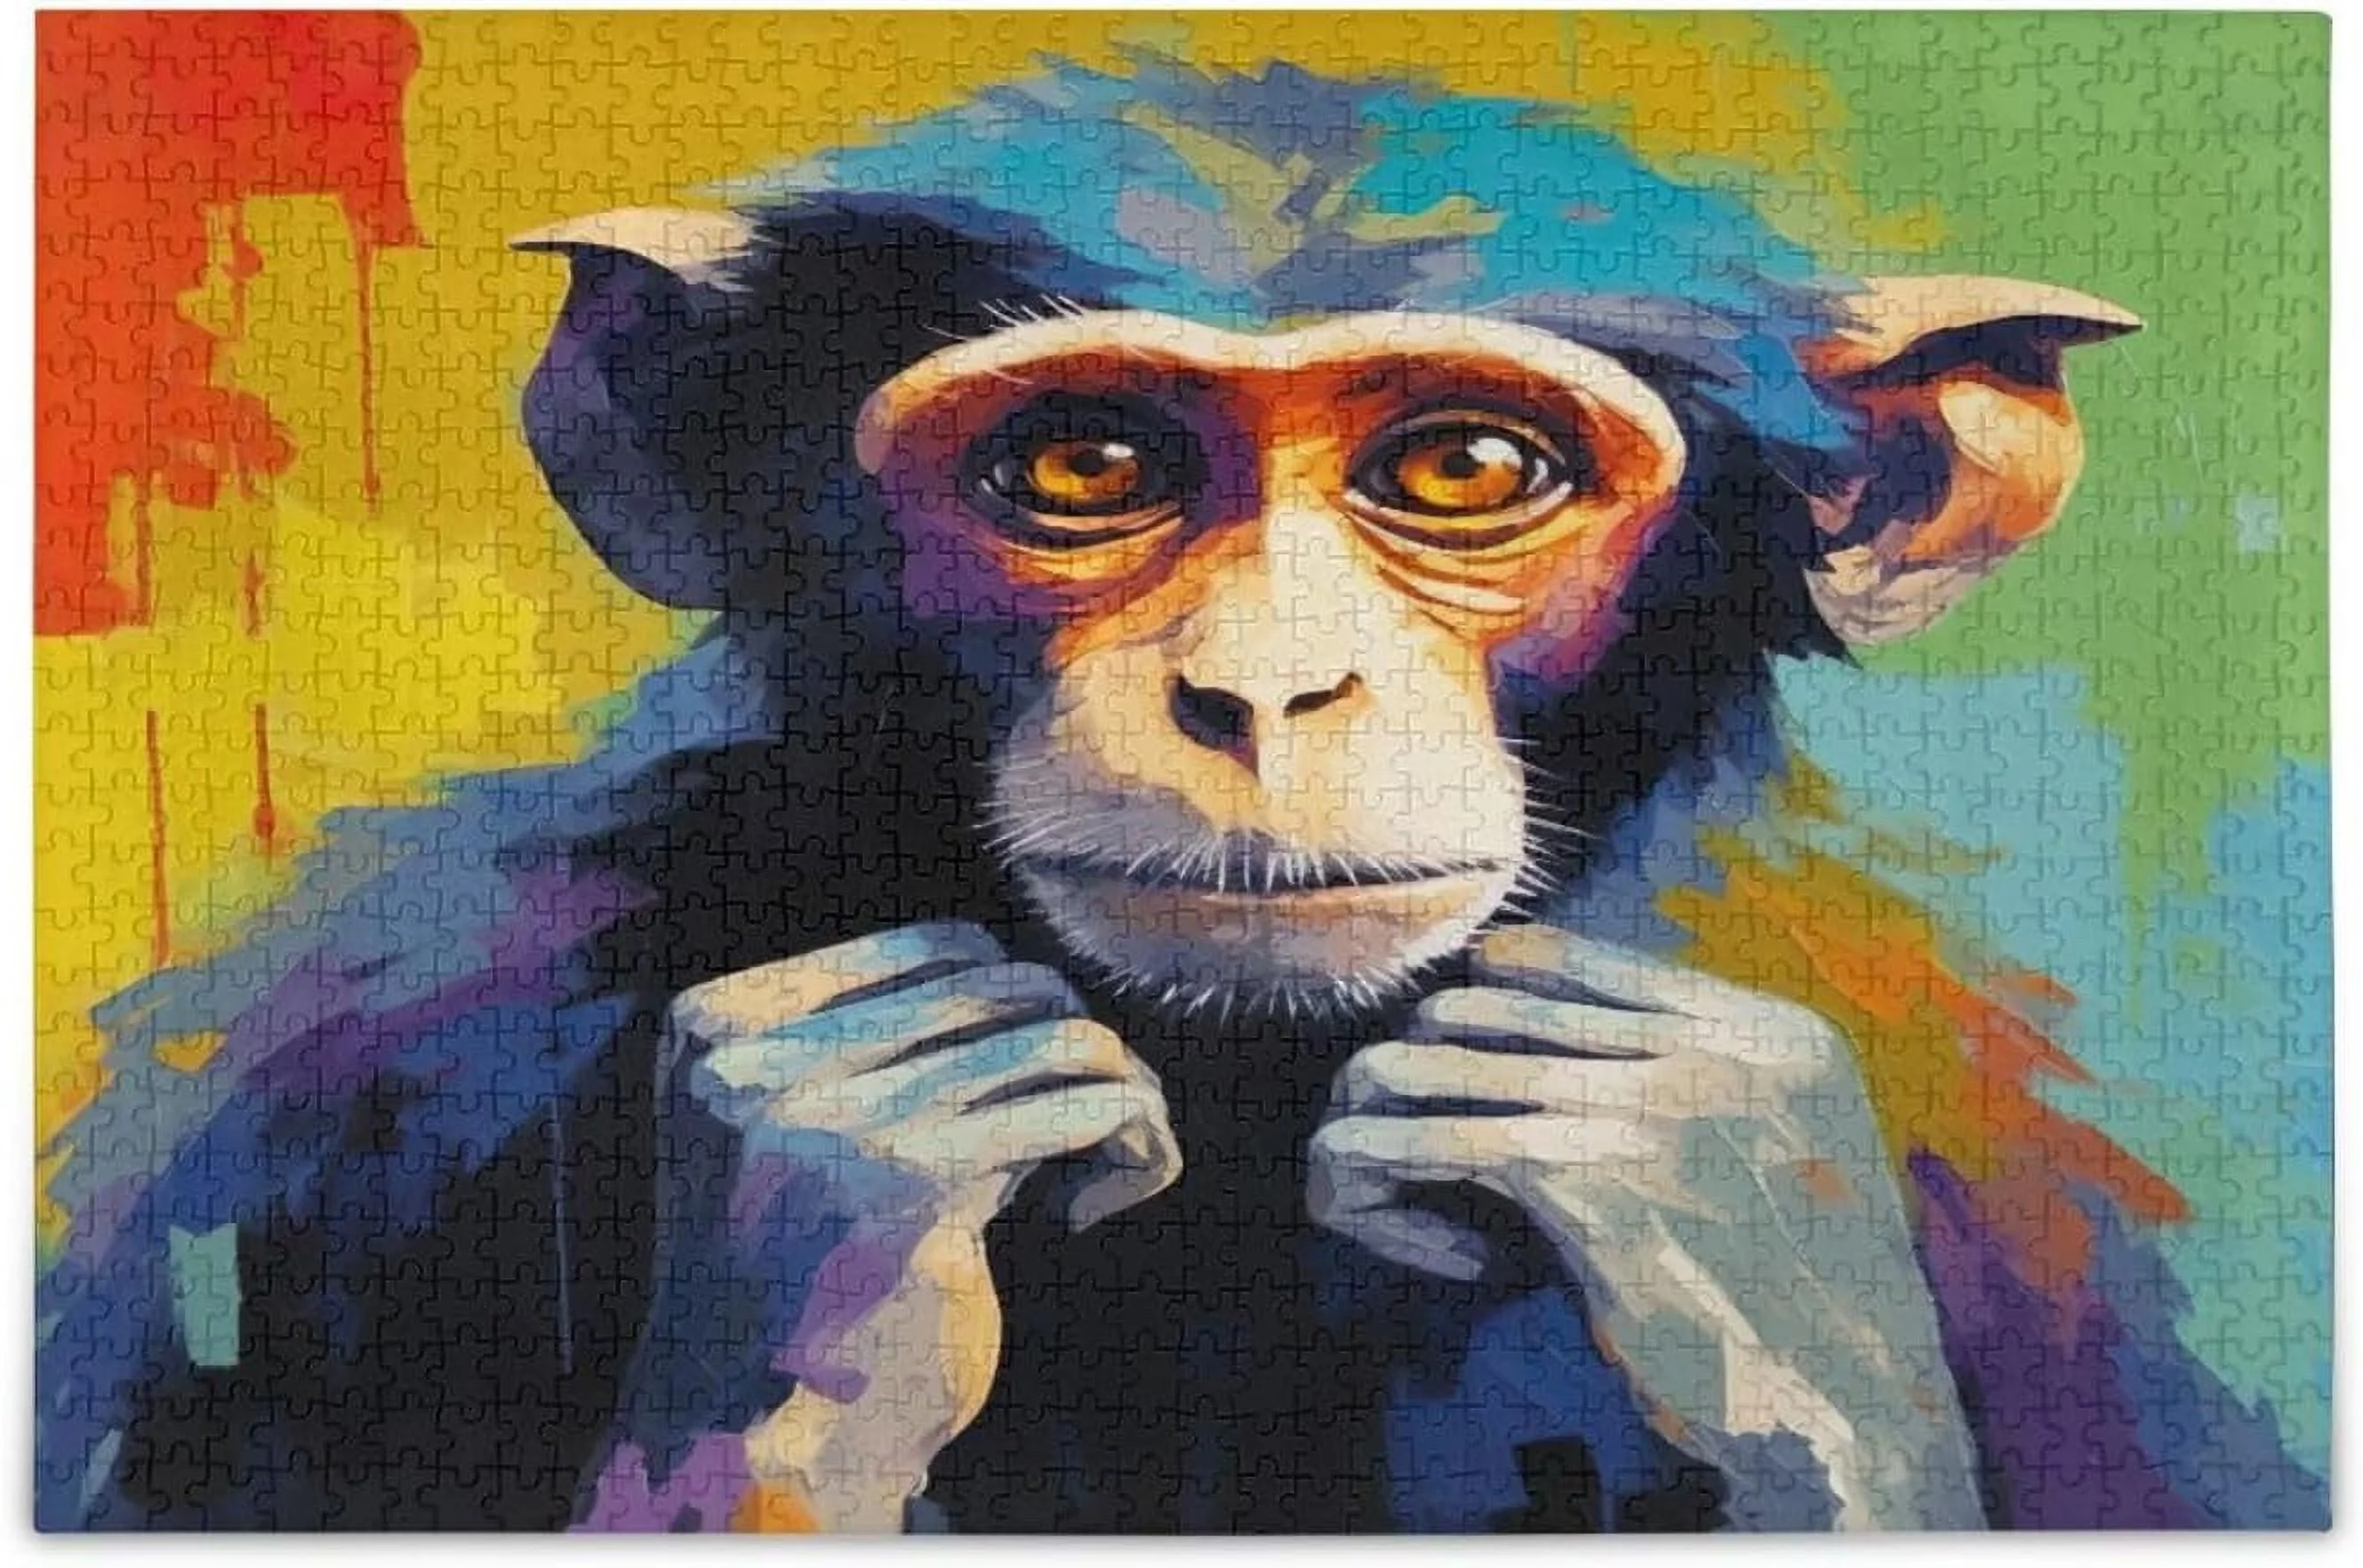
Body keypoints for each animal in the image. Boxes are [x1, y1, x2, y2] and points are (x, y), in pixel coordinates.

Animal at [37, 58, 2324, 1533]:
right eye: (1085, 465)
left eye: (1463, 467)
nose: (1262, 687)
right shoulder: (354, 1074)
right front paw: (833, 1221)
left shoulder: (2004, 1163)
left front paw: (1736, 1219)